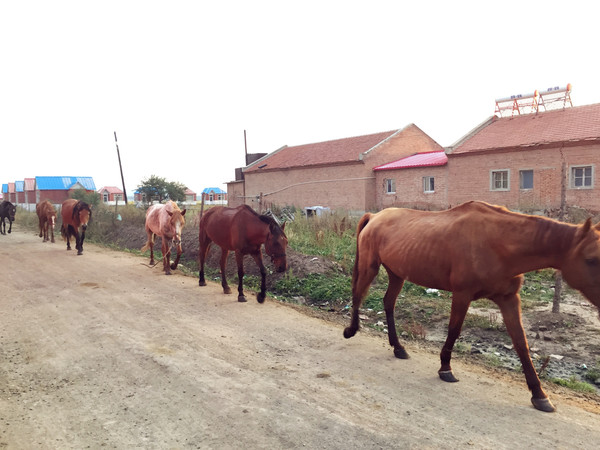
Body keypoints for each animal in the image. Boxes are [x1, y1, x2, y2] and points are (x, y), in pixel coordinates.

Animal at [342, 202, 600, 414]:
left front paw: (539, 395)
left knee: (388, 303)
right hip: (370, 266)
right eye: (591, 259)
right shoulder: (462, 295)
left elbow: (521, 344)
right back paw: (351, 330)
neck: (500, 242)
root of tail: (375, 216)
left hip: (397, 273)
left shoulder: (509, 299)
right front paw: (445, 368)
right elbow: (454, 331)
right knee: (359, 294)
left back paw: (398, 347)